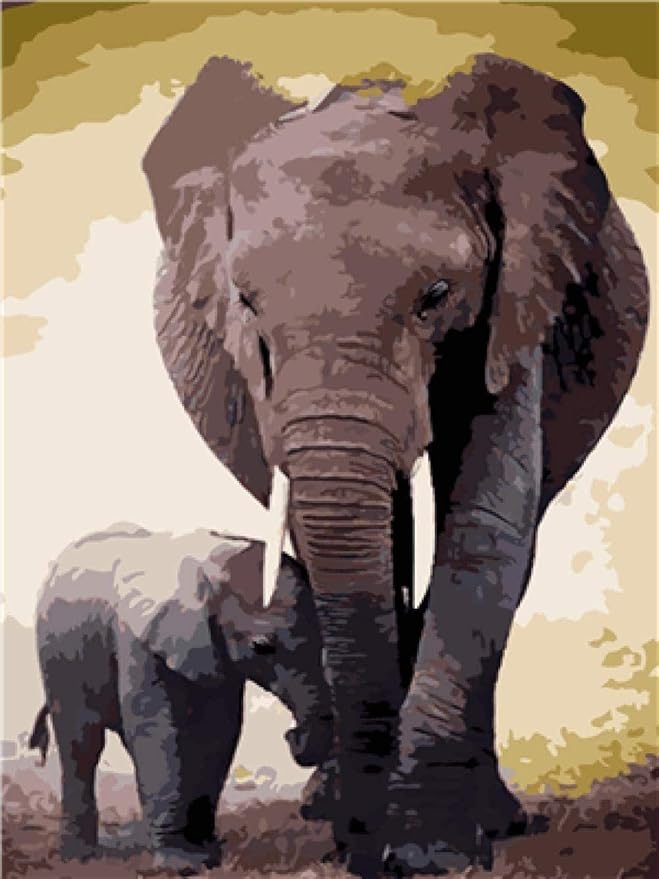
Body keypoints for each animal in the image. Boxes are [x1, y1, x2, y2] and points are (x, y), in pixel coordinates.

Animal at [30, 522, 333, 874]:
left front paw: (208, 856)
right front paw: (181, 865)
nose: (291, 736)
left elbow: (217, 733)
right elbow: (158, 729)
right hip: (56, 657)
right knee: (82, 743)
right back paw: (79, 857)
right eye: (261, 646)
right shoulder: (140, 641)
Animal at [142, 54, 649, 876]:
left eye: (436, 295)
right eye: (245, 303)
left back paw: (495, 819)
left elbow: (483, 524)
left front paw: (428, 849)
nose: (361, 847)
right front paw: (369, 829)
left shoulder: (516, 300)